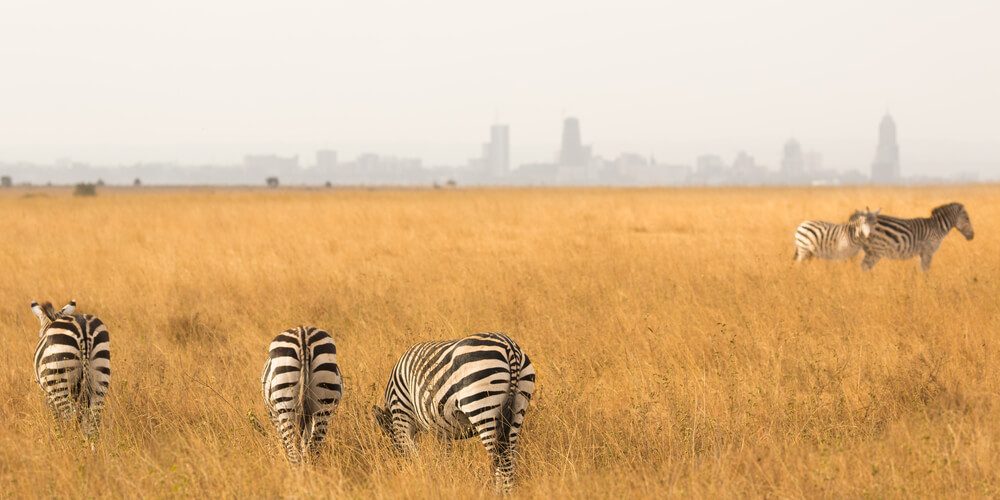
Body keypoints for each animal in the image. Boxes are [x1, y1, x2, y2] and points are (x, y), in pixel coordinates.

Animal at [30, 300, 111, 438]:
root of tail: (84, 332)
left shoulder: (49, 394)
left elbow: (57, 420)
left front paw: (59, 437)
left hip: (59, 383)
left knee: (71, 420)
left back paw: (69, 443)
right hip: (100, 379)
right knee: (94, 423)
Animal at [262, 326, 344, 462]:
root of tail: (303, 334)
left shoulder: (273, 415)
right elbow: (305, 442)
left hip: (285, 404)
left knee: (293, 451)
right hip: (324, 401)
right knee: (313, 448)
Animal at [372, 332, 536, 492]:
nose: (400, 470)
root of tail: (509, 346)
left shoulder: (402, 416)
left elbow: (415, 452)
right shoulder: (442, 430)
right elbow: (445, 456)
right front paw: (445, 478)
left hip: (481, 405)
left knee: (497, 459)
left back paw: (496, 492)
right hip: (518, 407)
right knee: (509, 458)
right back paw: (507, 492)